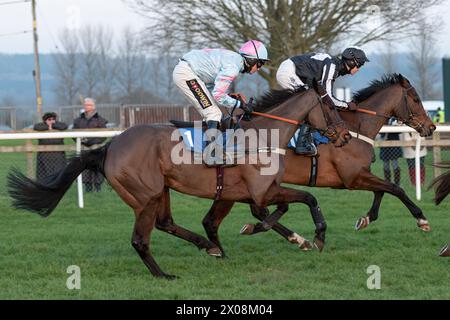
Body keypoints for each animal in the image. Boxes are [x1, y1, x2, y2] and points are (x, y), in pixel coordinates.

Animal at [7, 86, 348, 278]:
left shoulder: (248, 193)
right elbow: (305, 200)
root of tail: (110, 147)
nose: (344, 136)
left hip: (161, 190)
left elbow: (279, 210)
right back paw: (163, 275)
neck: (263, 136)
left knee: (166, 223)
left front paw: (296, 237)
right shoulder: (262, 191)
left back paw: (208, 247)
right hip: (146, 195)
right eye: (331, 107)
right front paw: (314, 237)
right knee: (141, 239)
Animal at [200, 73, 436, 255]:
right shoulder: (353, 178)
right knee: (240, 215)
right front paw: (422, 219)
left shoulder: (360, 174)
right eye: (416, 99)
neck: (356, 127)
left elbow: (382, 190)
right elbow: (395, 188)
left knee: (232, 216)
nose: (431, 127)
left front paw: (366, 219)